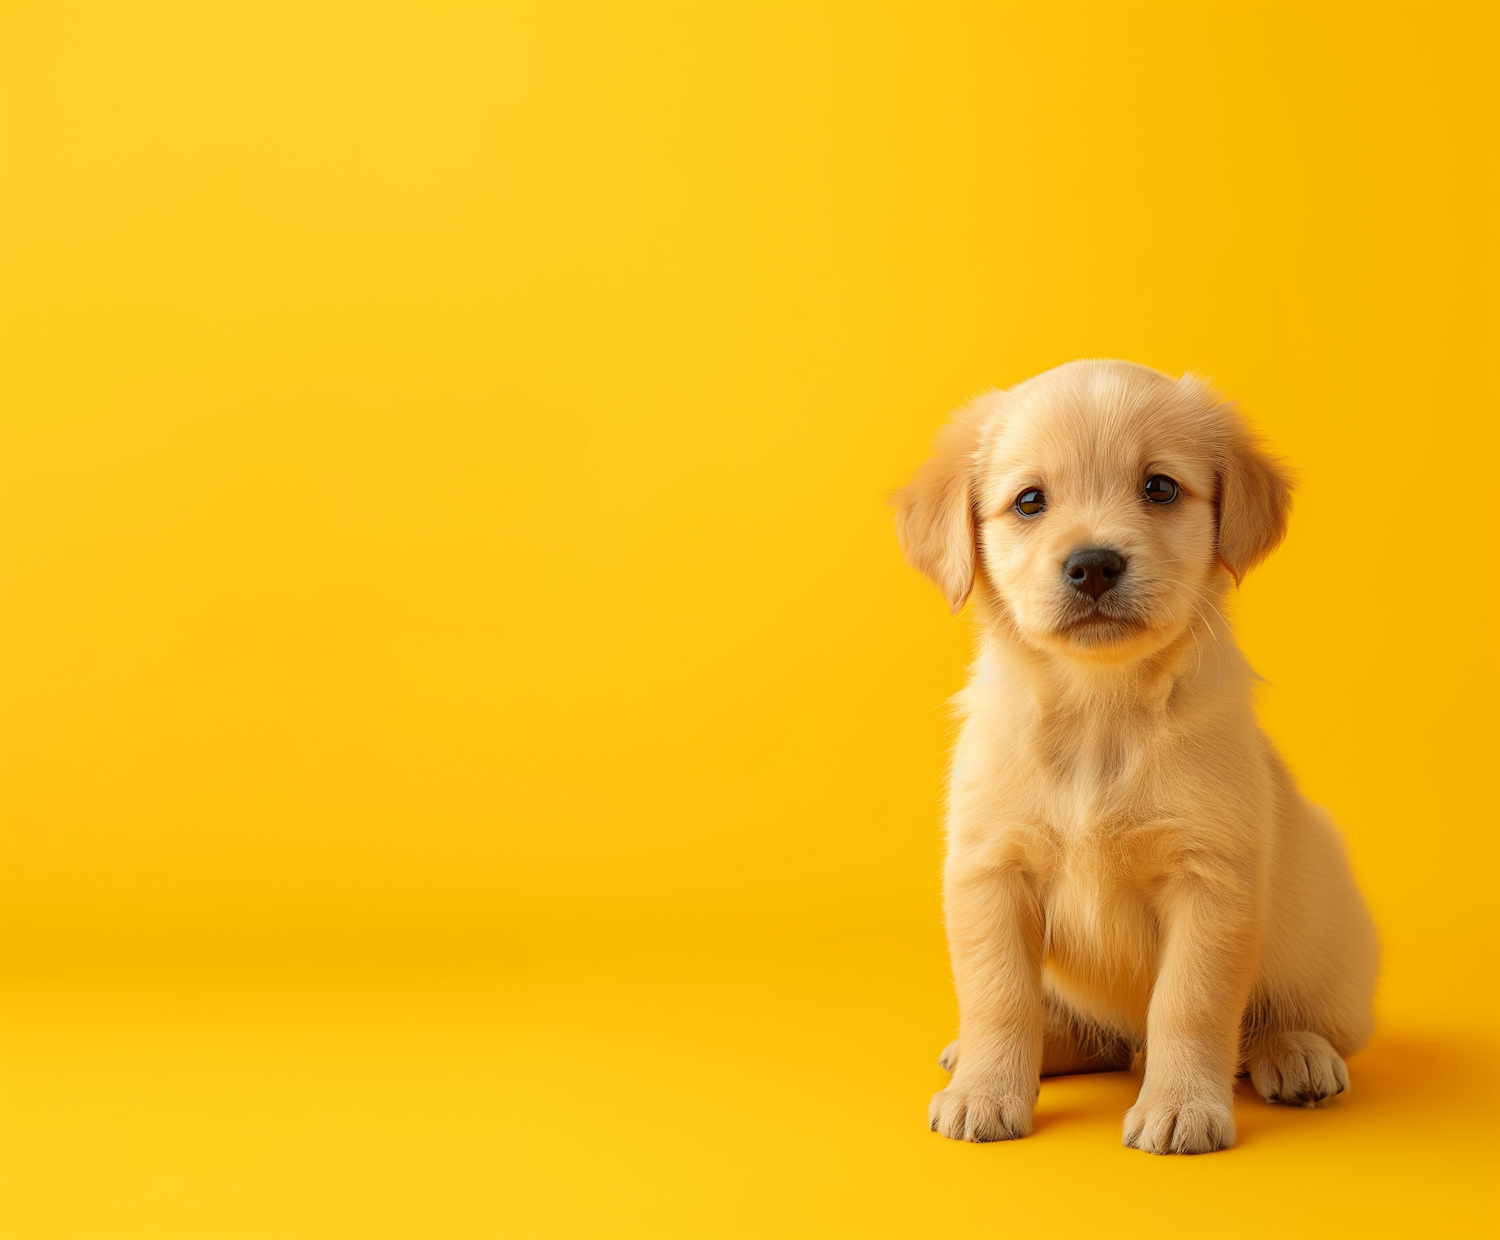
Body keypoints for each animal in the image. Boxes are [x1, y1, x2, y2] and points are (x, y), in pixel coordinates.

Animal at [894, 358, 1374, 1151]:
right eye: (1030, 502)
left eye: (1160, 488)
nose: (1093, 565)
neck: (1101, 710)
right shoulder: (989, 871)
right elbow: (999, 996)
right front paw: (986, 1090)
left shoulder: (1210, 877)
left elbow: (1191, 1002)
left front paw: (1181, 1104)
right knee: (1090, 1034)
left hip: (1333, 963)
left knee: (1278, 1019)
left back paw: (1294, 1053)